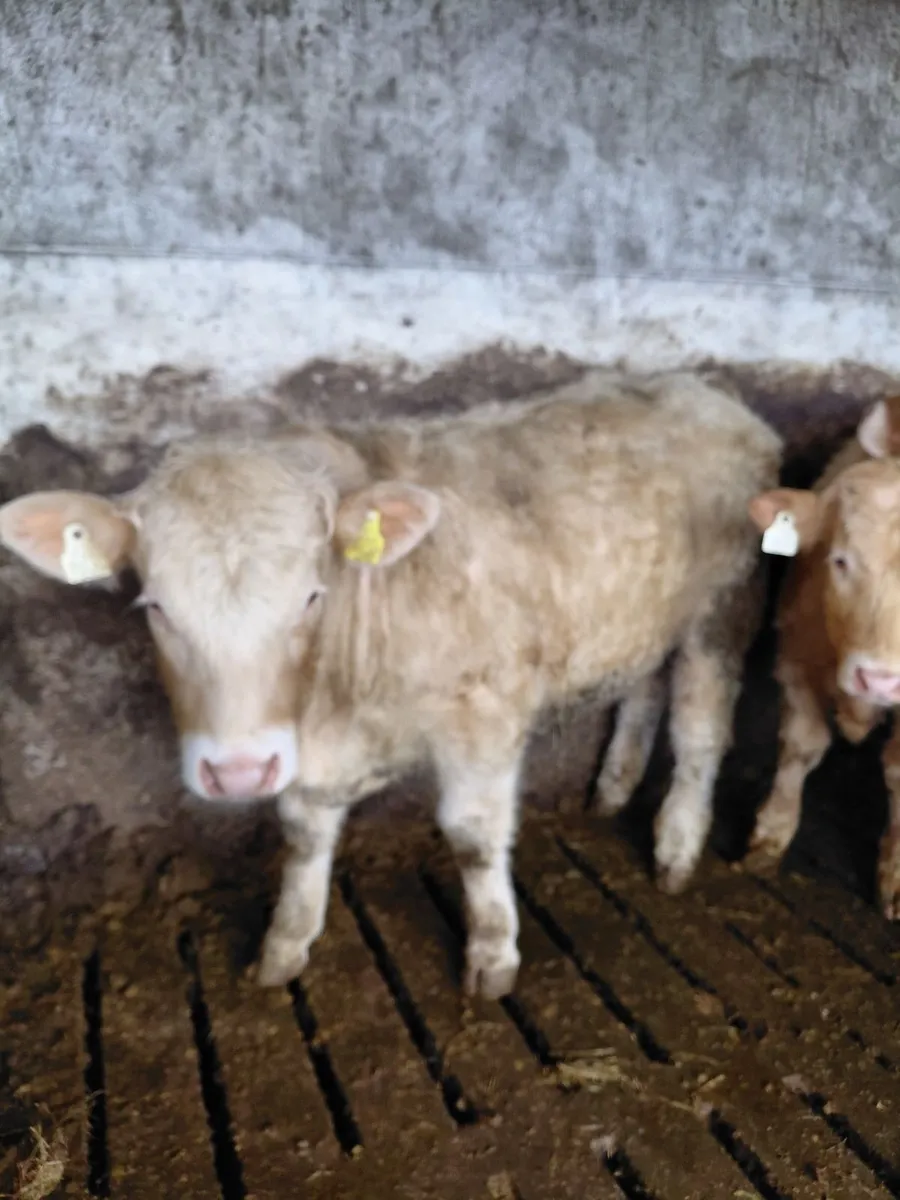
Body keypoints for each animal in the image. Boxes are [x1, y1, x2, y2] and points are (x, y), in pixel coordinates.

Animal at [0, 369, 781, 997]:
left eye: (311, 596)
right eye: (156, 606)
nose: (239, 771)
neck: (336, 699)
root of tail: (703, 388)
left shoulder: (485, 710)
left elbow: (472, 836)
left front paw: (492, 957)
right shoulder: (308, 753)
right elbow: (304, 834)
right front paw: (284, 946)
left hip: (724, 609)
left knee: (700, 728)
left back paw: (676, 846)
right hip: (644, 621)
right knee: (643, 689)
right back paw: (614, 787)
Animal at [745, 395, 900, 918]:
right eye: (840, 560)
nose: (880, 680)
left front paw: (895, 874)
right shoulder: (796, 656)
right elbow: (801, 745)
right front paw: (770, 835)